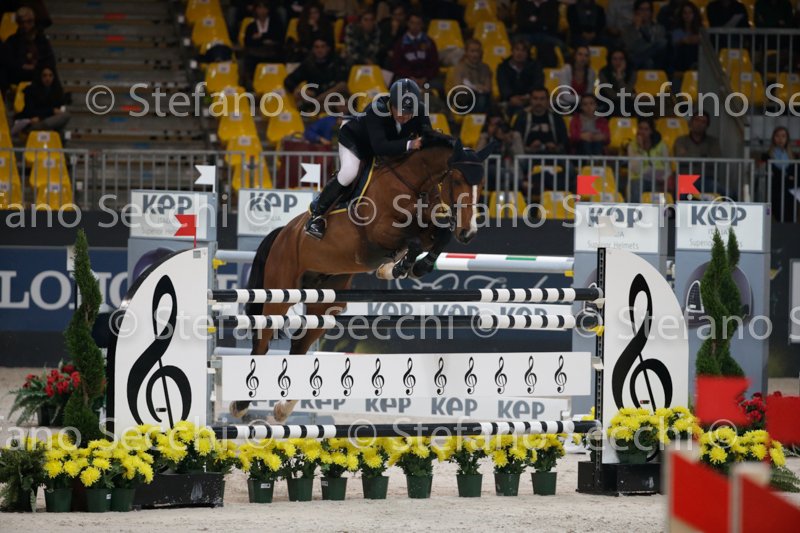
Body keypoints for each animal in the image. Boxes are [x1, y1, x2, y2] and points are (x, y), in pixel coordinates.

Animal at [231, 134, 492, 421]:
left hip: (325, 303)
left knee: (300, 345)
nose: (468, 233)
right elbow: (411, 240)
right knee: (263, 341)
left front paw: (413, 267)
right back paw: (241, 405)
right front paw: (396, 268)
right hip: (280, 291)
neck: (413, 183)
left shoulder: (428, 225)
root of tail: (283, 232)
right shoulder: (378, 233)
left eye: (482, 184)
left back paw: (281, 409)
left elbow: (438, 235)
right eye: (456, 181)